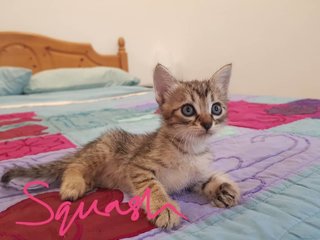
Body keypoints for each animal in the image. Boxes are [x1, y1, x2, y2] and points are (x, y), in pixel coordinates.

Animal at [0, 63, 240, 229]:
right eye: (188, 110)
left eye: (216, 108)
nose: (208, 123)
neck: (190, 149)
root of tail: (88, 146)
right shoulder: (138, 166)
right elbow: (152, 186)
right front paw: (164, 207)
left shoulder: (193, 175)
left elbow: (204, 180)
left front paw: (222, 188)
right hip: (102, 150)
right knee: (74, 166)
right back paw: (74, 184)